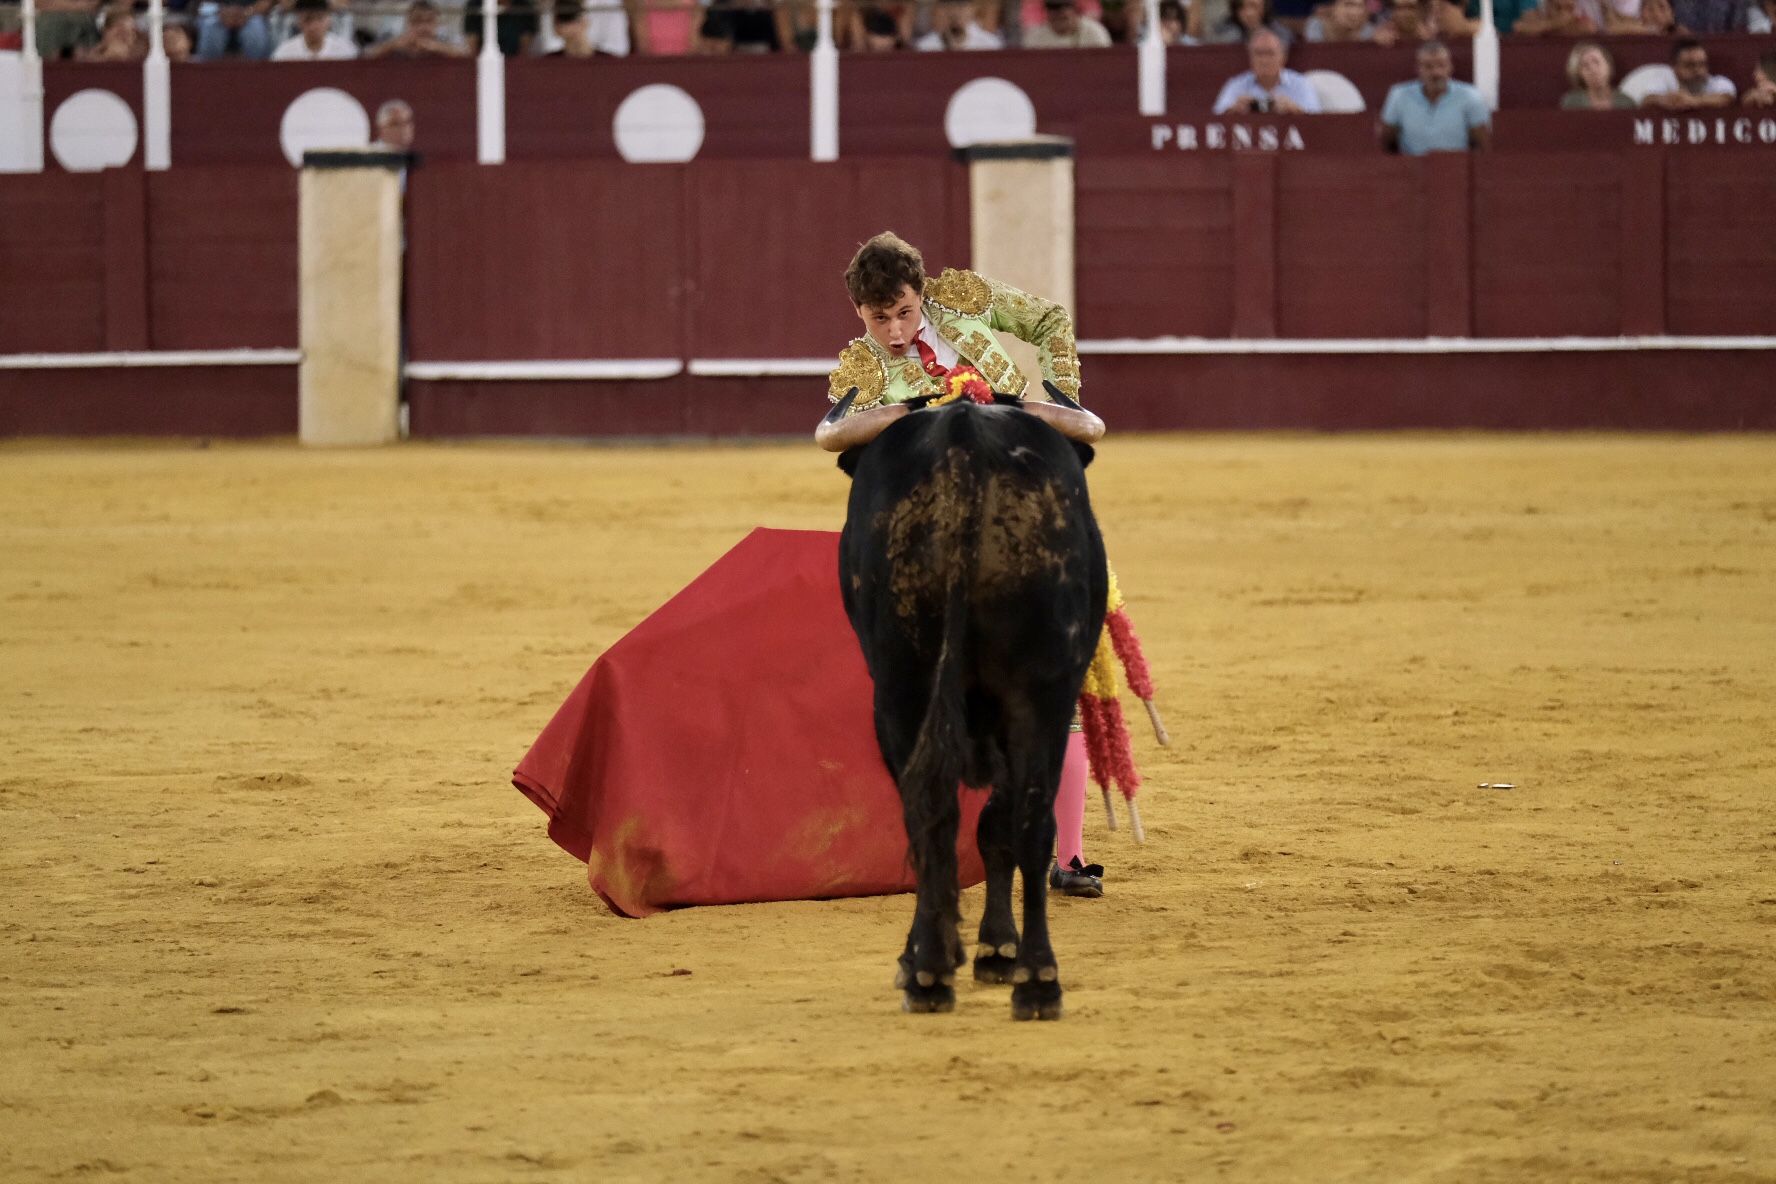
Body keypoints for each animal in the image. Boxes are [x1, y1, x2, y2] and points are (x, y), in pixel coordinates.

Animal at [838, 397, 1101, 1022]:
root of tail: (963, 443)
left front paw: (974, 949)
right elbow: (996, 827)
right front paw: (996, 948)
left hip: (904, 691)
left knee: (933, 814)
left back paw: (932, 970)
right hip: (1036, 695)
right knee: (1023, 821)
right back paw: (1036, 979)